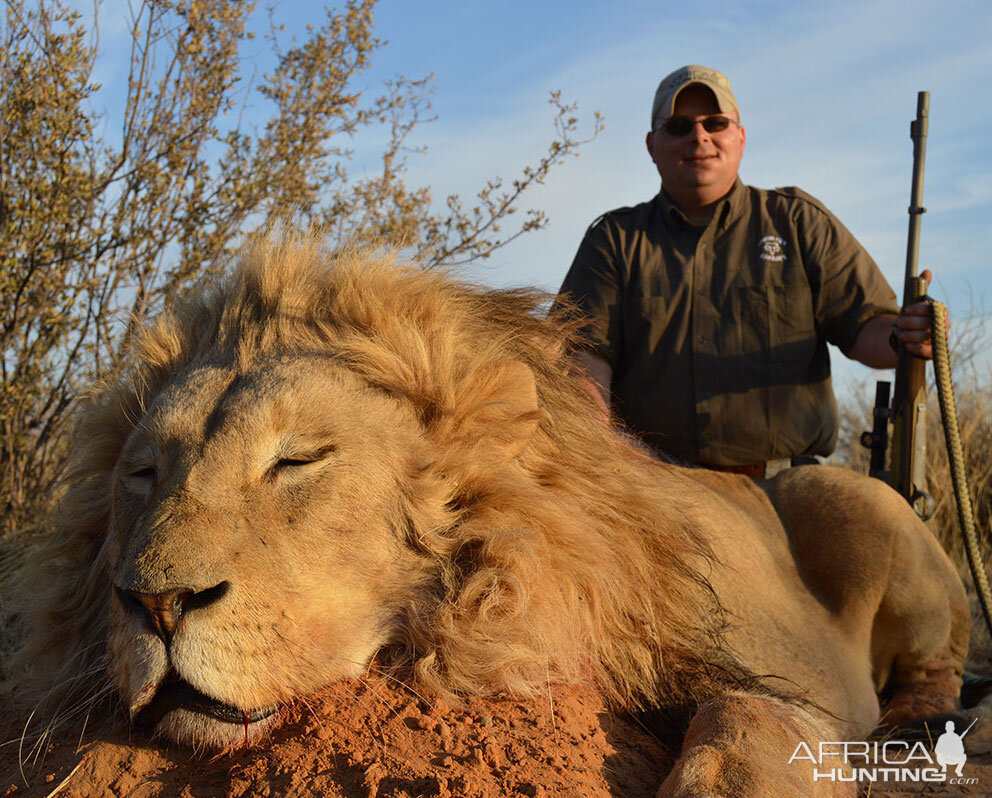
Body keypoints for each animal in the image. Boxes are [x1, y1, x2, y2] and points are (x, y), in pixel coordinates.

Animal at [5, 241, 968, 796]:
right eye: (143, 474)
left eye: (295, 461)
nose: (156, 605)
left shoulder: (789, 681)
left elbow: (743, 726)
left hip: (851, 497)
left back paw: (922, 719)